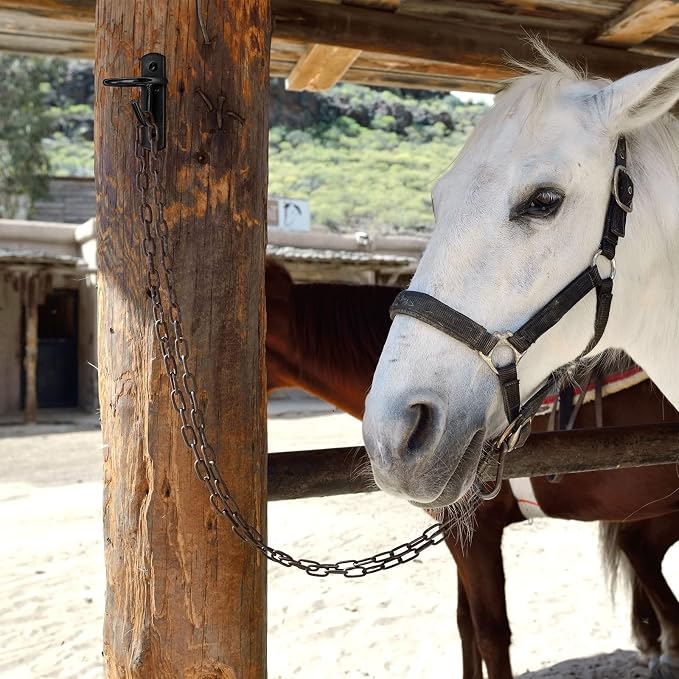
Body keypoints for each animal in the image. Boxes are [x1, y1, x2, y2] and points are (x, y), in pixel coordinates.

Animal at [265, 260, 679, 678]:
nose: (396, 441)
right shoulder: (458, 533)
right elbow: (465, 624)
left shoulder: (476, 533)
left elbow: (489, 633)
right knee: (638, 549)